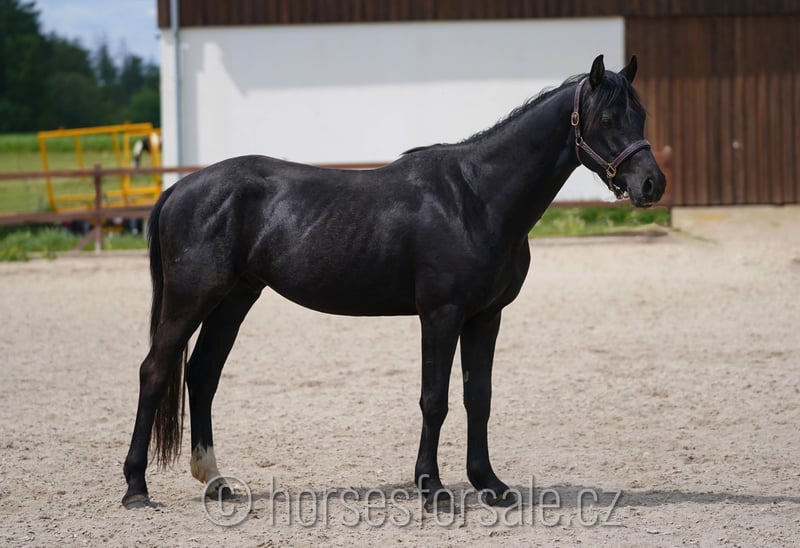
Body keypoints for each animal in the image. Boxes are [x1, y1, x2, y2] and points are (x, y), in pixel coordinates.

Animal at [122, 55, 666, 510]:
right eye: (607, 119)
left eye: (640, 115)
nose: (651, 184)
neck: (476, 198)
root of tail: (179, 189)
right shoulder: (441, 315)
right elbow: (435, 400)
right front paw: (433, 489)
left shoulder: (486, 317)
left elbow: (479, 398)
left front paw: (490, 485)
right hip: (190, 300)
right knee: (155, 372)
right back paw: (136, 488)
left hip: (235, 299)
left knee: (202, 375)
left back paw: (216, 482)